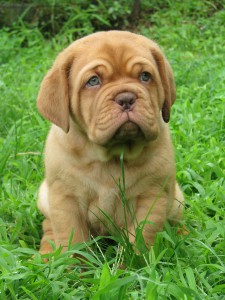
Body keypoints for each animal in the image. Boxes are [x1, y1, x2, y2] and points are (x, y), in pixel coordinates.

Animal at [37, 30, 184, 254]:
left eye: (145, 76)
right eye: (93, 81)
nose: (126, 98)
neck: (112, 155)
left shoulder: (151, 197)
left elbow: (140, 238)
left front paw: (133, 261)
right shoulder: (65, 199)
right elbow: (72, 240)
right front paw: (69, 263)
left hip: (176, 198)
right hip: (44, 196)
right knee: (49, 226)